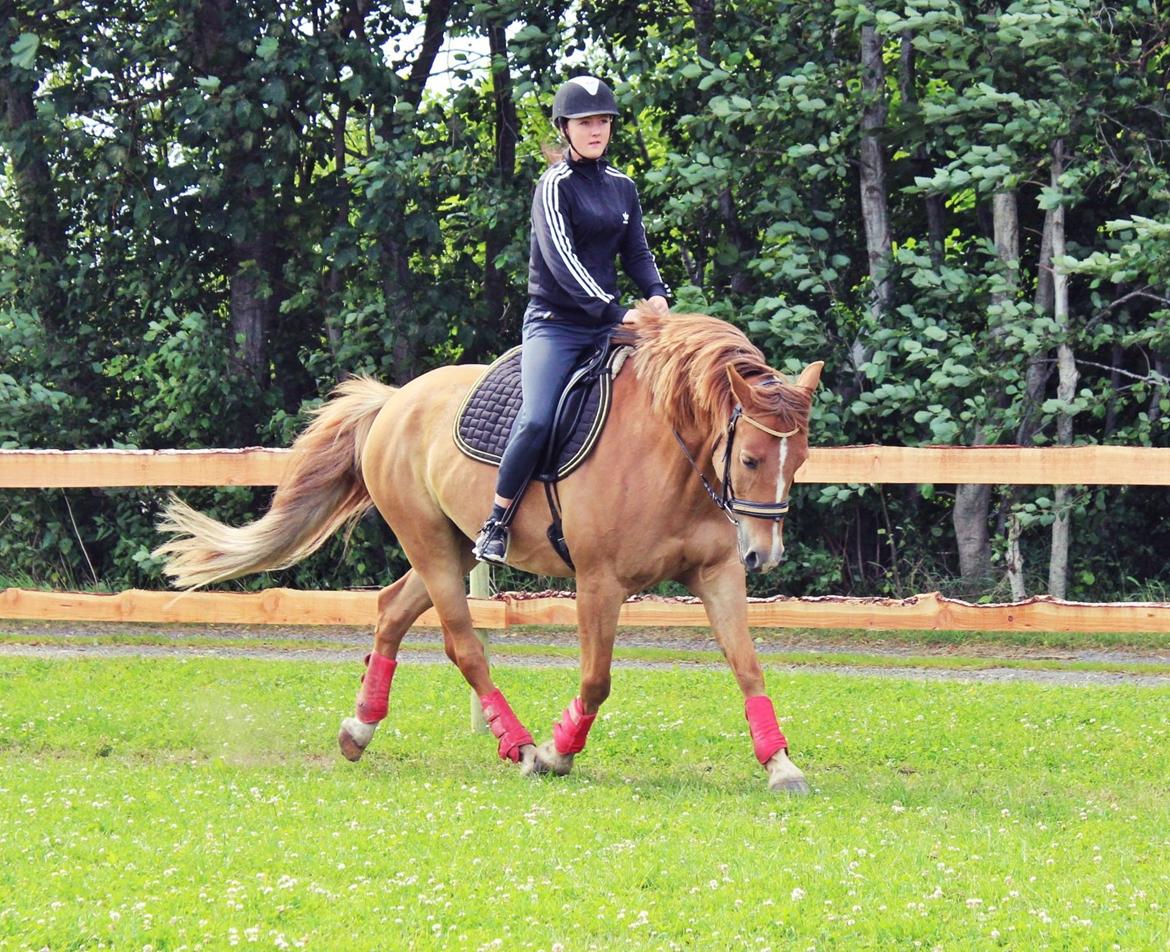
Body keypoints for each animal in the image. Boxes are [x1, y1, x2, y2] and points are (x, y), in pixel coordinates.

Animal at [155, 308, 823, 795]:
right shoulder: (599, 582)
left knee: (391, 610)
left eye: (800, 460)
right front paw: (556, 754)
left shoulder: (717, 575)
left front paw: (780, 765)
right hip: (431, 546)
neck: (672, 457)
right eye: (751, 459)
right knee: (463, 645)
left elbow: (747, 665)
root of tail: (394, 401)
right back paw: (519, 746)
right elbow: (596, 680)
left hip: (453, 550)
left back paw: (360, 729)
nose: (764, 557)